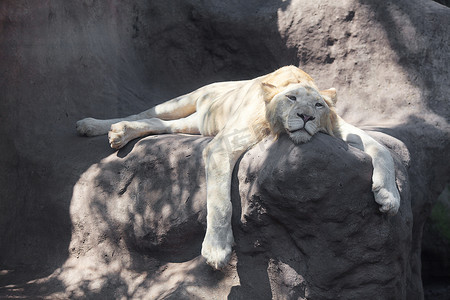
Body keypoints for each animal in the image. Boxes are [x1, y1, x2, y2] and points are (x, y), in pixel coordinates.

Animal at [76, 65, 400, 270]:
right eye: (291, 98)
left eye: (319, 105)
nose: (306, 117)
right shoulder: (223, 145)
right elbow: (220, 202)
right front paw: (217, 250)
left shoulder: (339, 127)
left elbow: (382, 148)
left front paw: (388, 197)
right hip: (186, 101)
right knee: (149, 111)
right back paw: (94, 125)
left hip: (199, 123)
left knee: (159, 123)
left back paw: (120, 133)